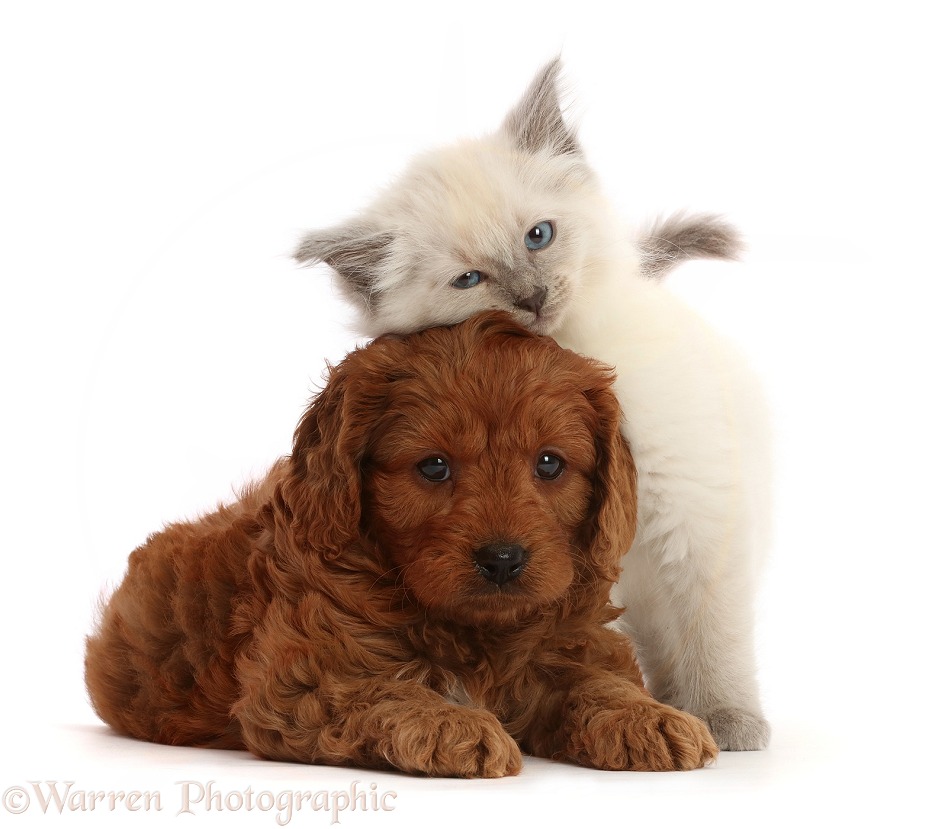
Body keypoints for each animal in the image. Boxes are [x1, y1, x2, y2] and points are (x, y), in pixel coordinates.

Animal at [294, 59, 772, 752]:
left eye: (538, 237)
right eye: (470, 280)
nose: (533, 297)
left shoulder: (695, 513)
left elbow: (714, 632)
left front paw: (726, 717)